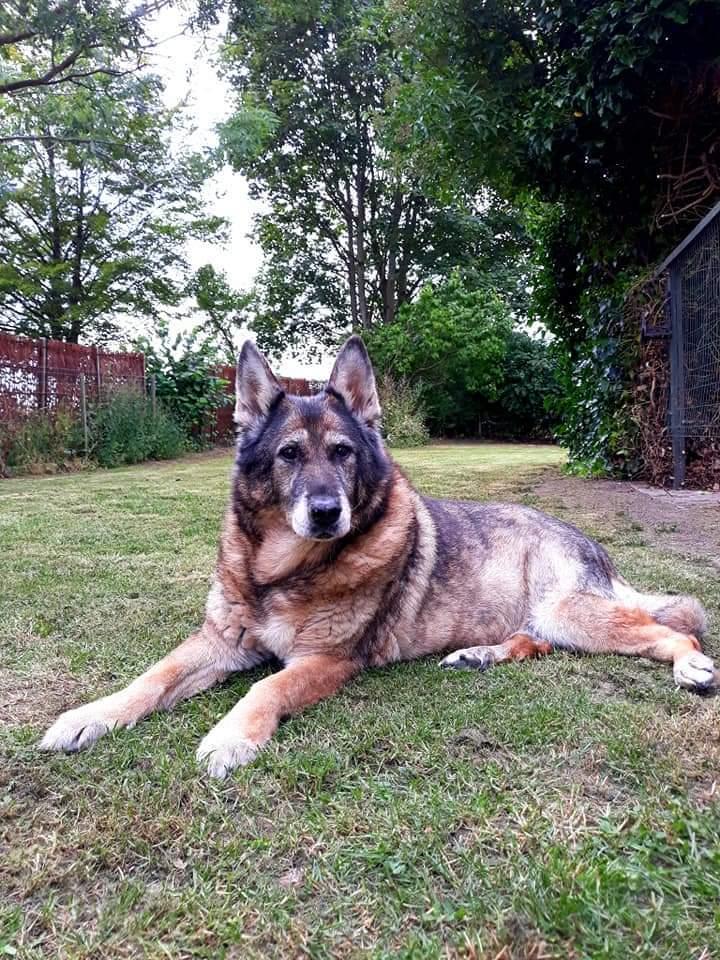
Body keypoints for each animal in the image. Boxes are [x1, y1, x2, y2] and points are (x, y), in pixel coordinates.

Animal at [40, 334, 720, 776]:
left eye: (342, 452)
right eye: (289, 454)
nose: (325, 513)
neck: (284, 572)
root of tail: (591, 543)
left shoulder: (325, 661)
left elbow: (263, 688)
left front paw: (232, 735)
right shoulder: (219, 642)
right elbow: (152, 678)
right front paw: (90, 716)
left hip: (569, 610)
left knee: (676, 629)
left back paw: (691, 665)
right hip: (549, 619)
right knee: (538, 643)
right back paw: (478, 655)